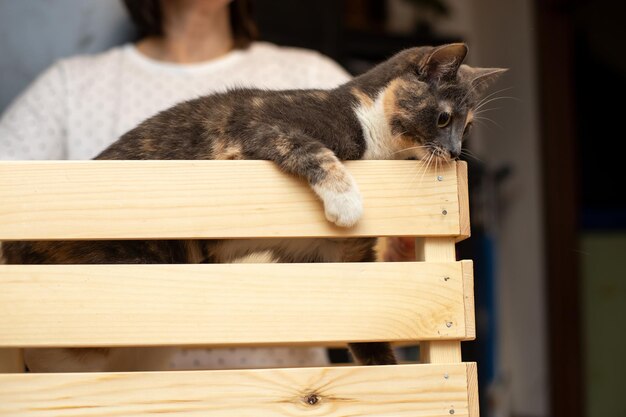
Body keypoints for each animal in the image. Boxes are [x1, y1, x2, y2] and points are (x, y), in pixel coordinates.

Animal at [1, 44, 502, 372]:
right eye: (443, 117)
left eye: (467, 126)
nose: (454, 152)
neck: (374, 134)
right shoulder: (260, 126)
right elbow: (310, 149)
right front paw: (346, 200)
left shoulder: (344, 257)